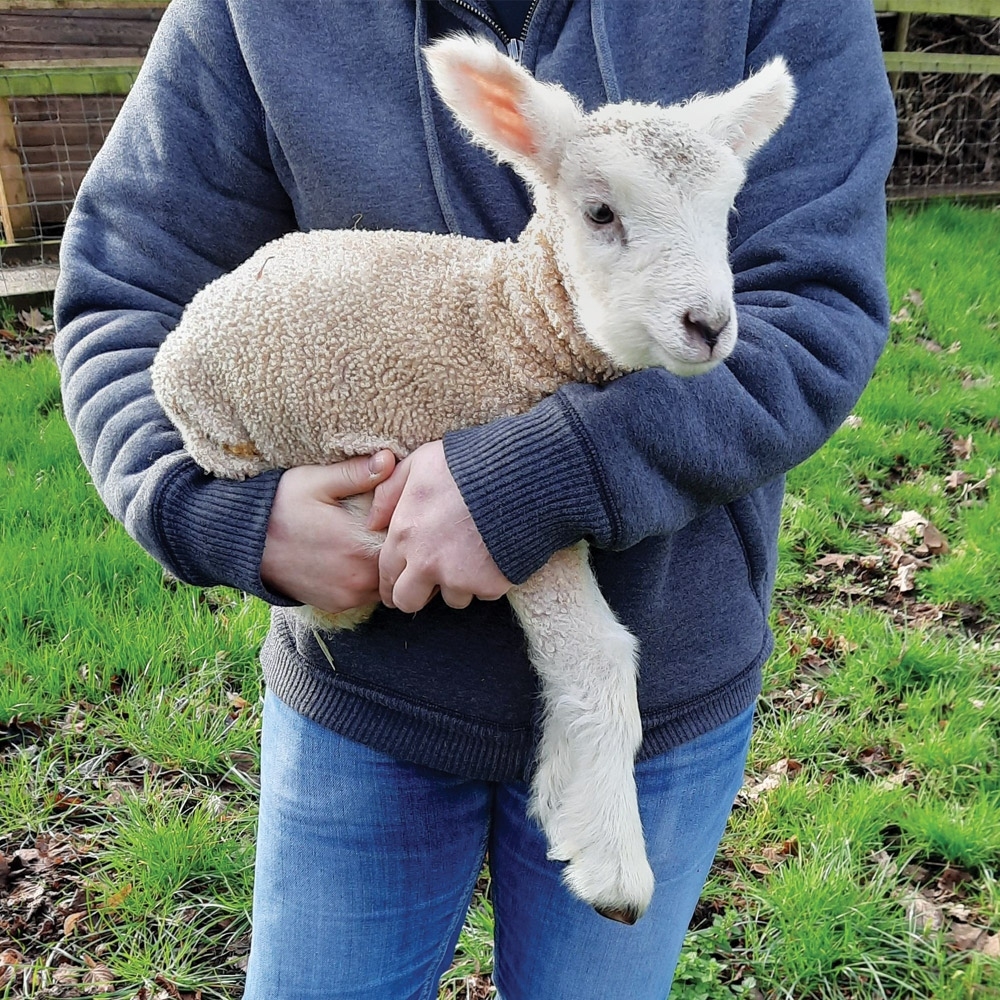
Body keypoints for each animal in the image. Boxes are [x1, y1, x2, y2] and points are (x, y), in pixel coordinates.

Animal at [150, 39, 788, 928]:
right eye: (601, 214)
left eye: (725, 213)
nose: (709, 326)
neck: (511, 321)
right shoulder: (514, 530)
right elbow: (596, 656)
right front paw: (612, 864)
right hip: (224, 426)